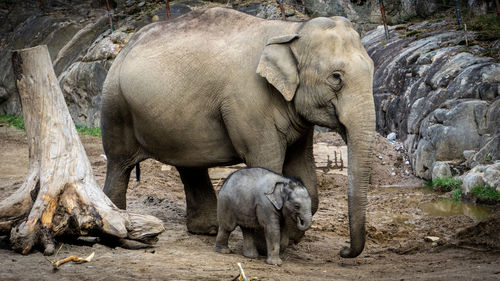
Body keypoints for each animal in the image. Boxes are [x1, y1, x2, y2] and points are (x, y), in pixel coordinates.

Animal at [102, 6, 376, 258]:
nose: (343, 251)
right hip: (115, 104)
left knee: (189, 166)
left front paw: (291, 238)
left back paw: (208, 230)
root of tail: (125, 46)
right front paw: (271, 245)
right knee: (119, 165)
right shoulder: (250, 104)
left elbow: (304, 175)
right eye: (336, 77)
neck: (291, 30)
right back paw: (119, 233)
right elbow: (268, 163)